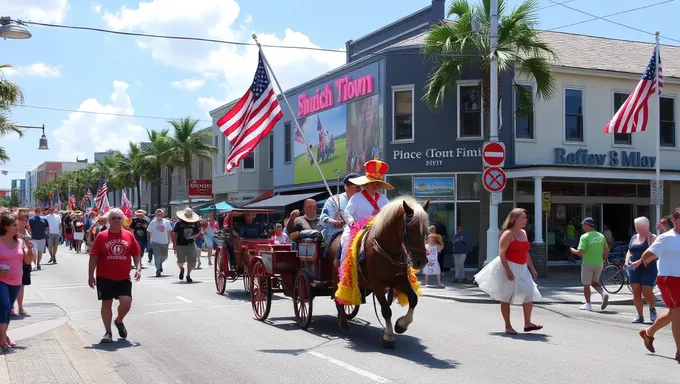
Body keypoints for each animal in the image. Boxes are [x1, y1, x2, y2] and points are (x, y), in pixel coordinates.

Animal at [330, 195, 430, 348]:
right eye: (411, 229)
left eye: (426, 231)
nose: (422, 262)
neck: (386, 249)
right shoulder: (377, 285)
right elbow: (386, 310)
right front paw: (388, 336)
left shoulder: (399, 281)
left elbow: (414, 299)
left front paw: (401, 325)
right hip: (337, 279)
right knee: (339, 298)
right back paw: (343, 323)